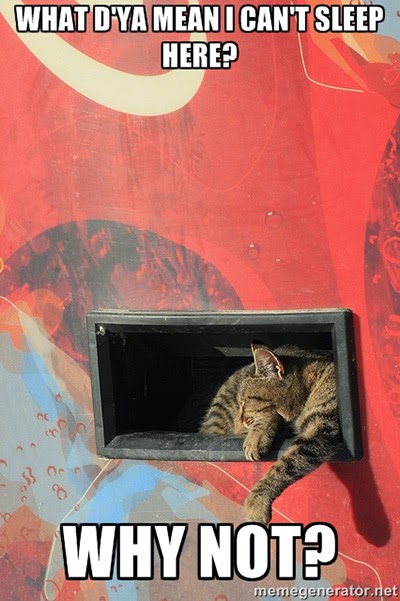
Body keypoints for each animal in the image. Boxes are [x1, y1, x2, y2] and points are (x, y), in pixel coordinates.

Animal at [200, 344, 340, 524]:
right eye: (240, 402)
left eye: (246, 400)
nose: (240, 419)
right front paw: (258, 434)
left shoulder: (321, 428)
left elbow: (284, 465)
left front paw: (256, 500)